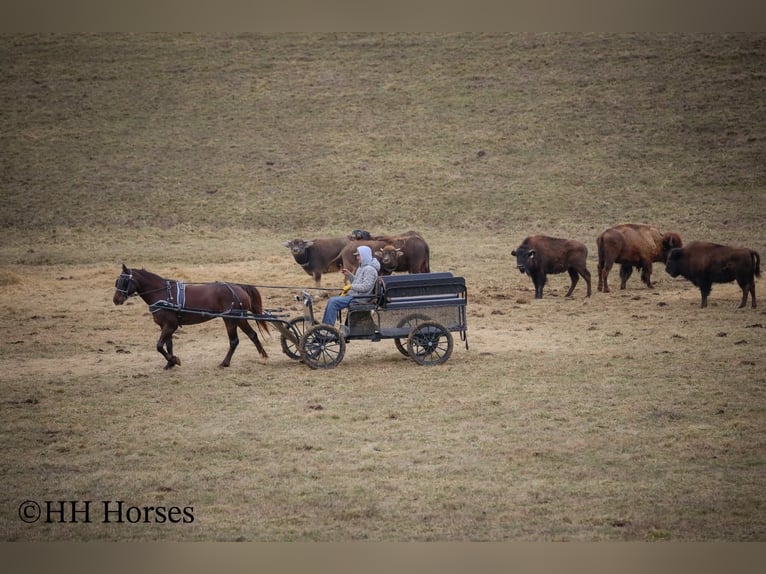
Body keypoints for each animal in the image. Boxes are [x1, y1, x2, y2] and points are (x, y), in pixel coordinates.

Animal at [112, 264, 270, 369]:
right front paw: (170, 363)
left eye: (125, 281)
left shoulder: (170, 326)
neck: (162, 293)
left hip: (230, 319)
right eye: (117, 281)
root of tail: (239, 287)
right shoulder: (166, 326)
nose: (116, 300)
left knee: (234, 341)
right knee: (253, 335)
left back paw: (224, 363)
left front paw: (175, 360)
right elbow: (168, 345)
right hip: (240, 319)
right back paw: (263, 357)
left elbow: (159, 346)